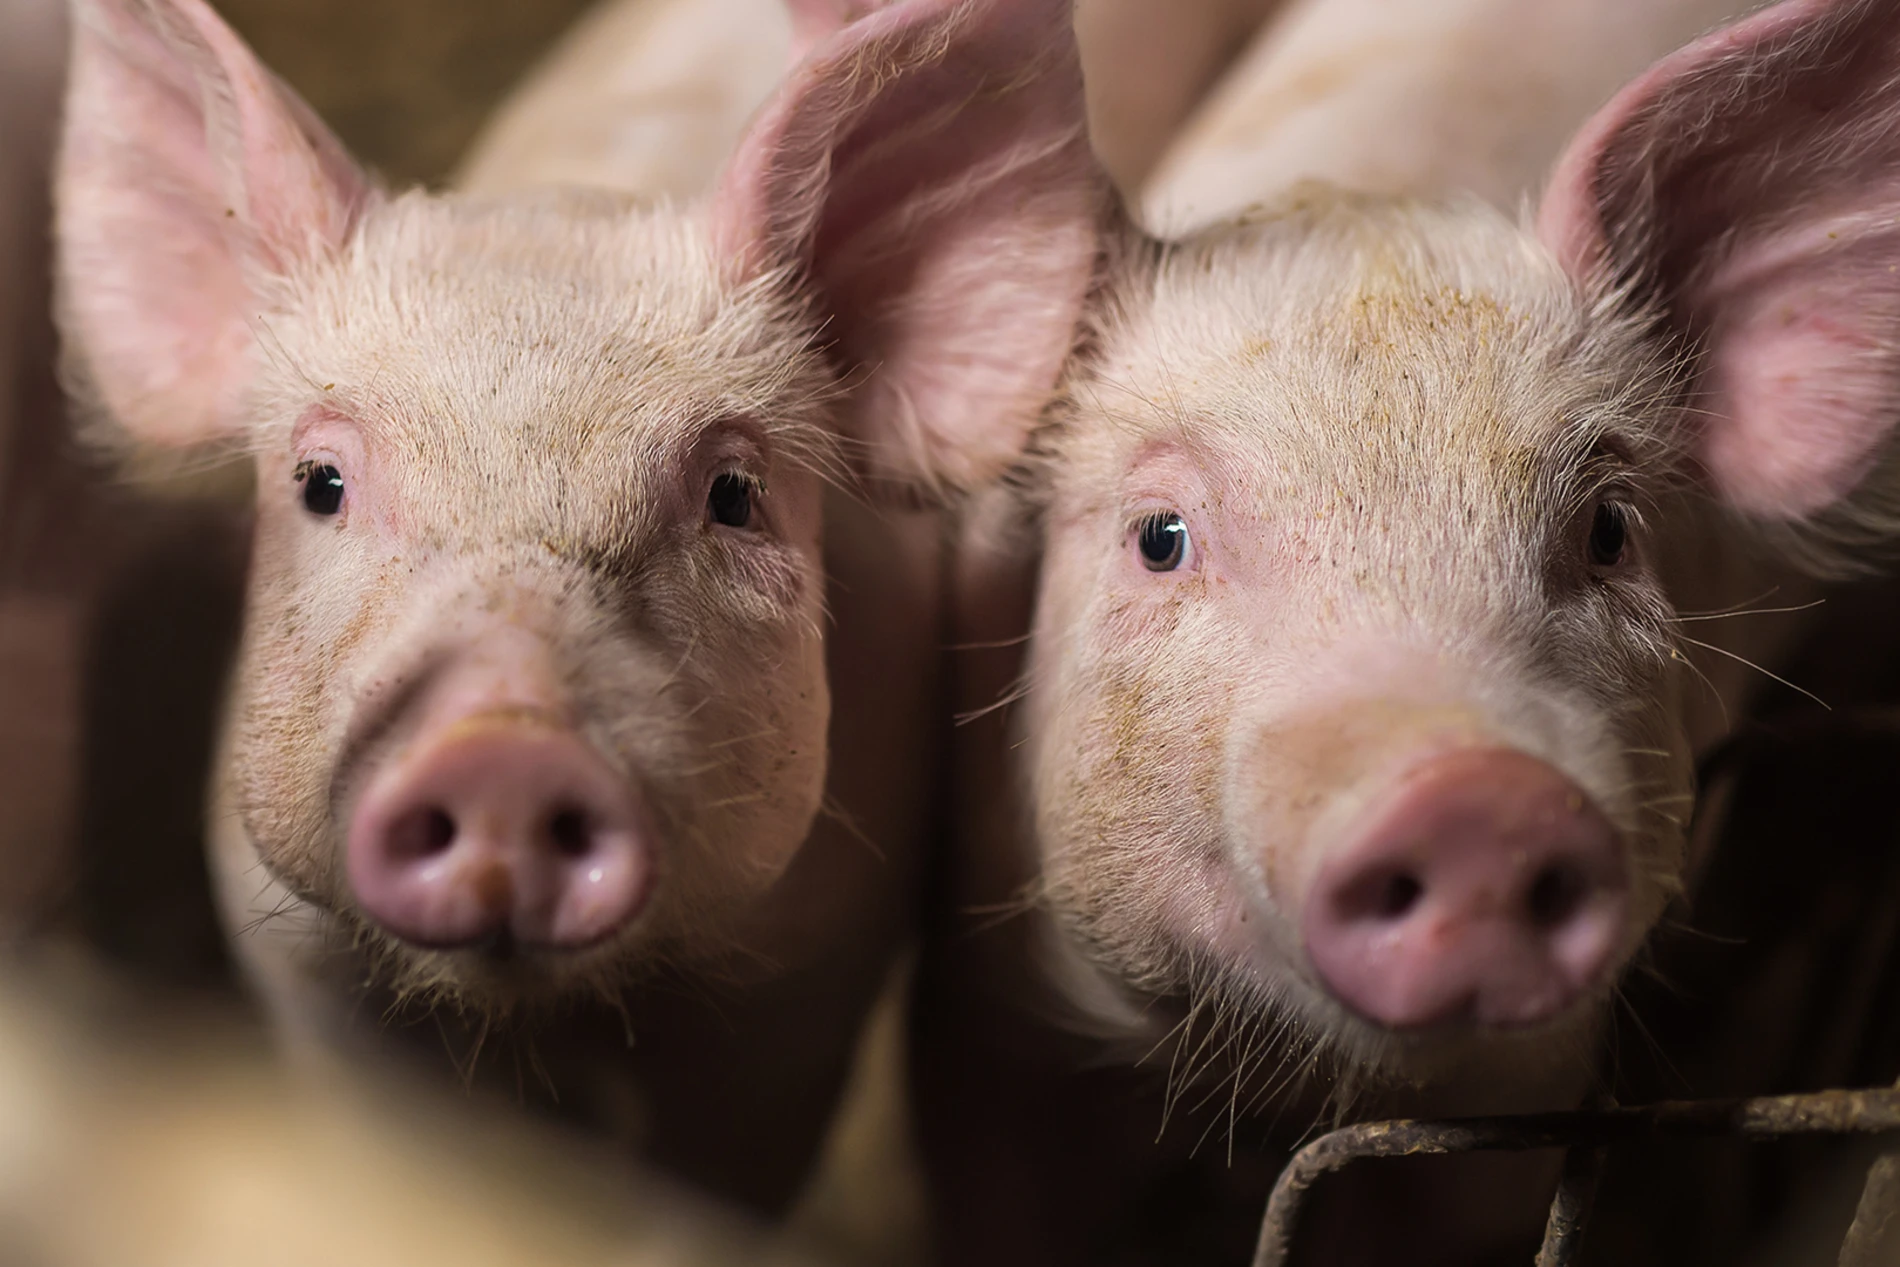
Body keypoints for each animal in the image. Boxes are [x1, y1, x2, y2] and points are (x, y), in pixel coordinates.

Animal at [52, 0, 1098, 1217]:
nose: (503, 749)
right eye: (320, 483)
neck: (548, 1027)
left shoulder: (804, 994)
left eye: (731, 493)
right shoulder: (308, 979)